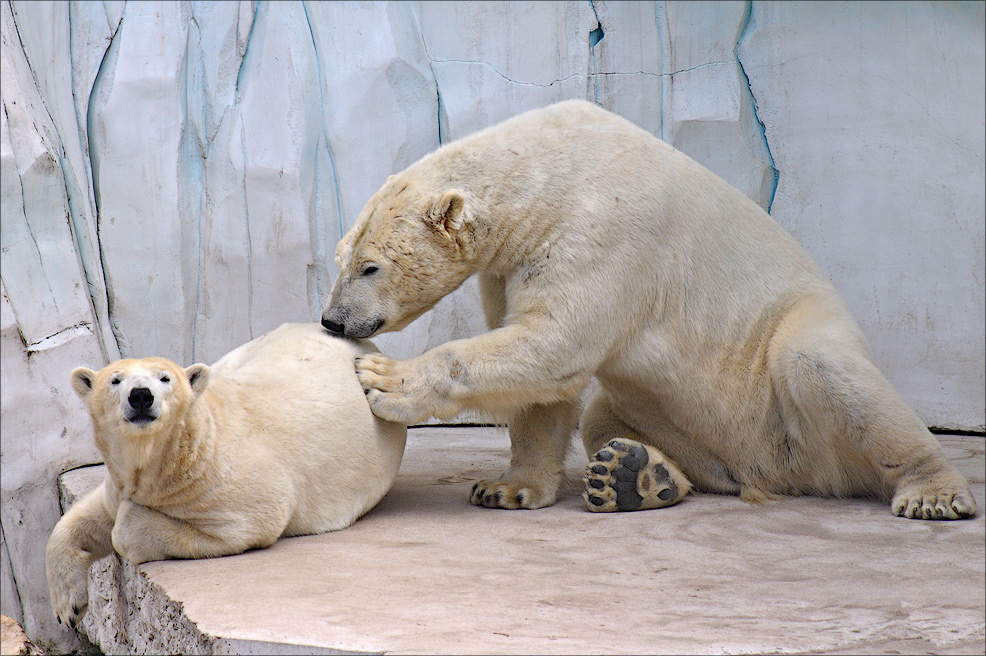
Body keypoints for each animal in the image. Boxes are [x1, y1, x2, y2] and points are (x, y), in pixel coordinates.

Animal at [45, 322, 408, 624]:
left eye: (164, 378)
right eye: (115, 380)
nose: (141, 396)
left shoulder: (228, 488)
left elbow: (241, 525)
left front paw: (131, 520)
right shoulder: (121, 480)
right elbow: (83, 519)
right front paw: (68, 607)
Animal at [324, 98, 976, 524]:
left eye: (370, 267)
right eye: (340, 257)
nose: (333, 321)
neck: (544, 175)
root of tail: (785, 475)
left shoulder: (604, 228)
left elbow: (554, 341)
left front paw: (385, 378)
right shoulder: (510, 263)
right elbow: (544, 375)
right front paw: (508, 488)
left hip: (781, 366)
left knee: (822, 365)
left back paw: (933, 492)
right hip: (700, 429)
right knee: (606, 416)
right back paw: (636, 476)